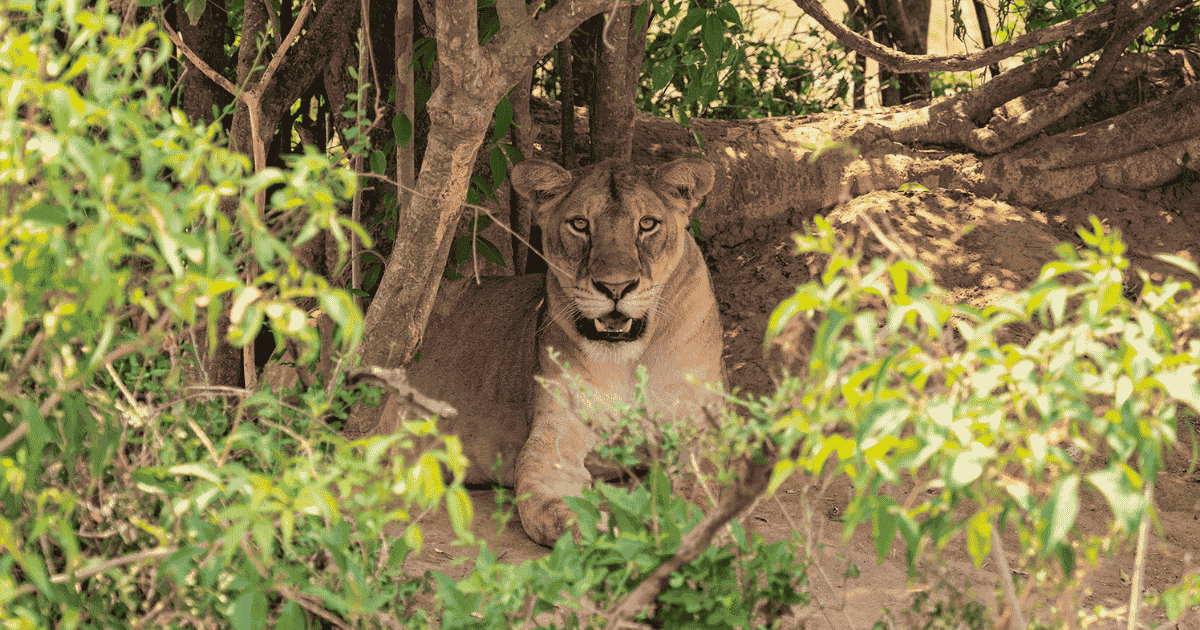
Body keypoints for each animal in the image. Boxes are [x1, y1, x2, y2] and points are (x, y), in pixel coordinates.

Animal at [406, 157, 724, 546]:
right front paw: (610, 538)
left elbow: (695, 495)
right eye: (580, 224)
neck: (628, 361)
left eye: (647, 224)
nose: (615, 287)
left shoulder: (703, 430)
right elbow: (556, 513)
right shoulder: (553, 442)